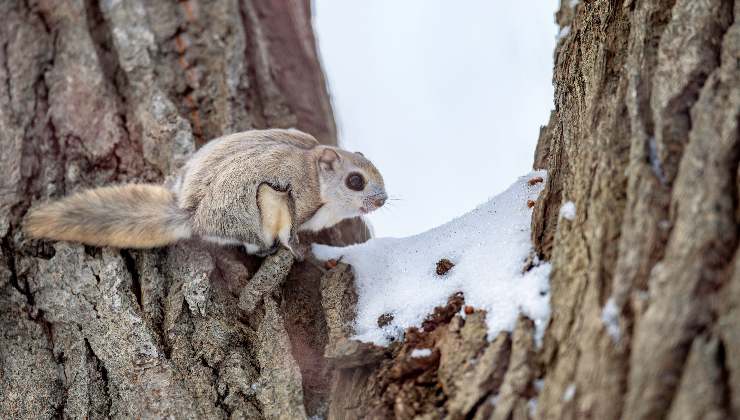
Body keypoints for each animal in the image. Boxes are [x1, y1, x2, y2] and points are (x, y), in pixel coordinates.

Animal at [23, 128, 388, 260]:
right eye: (355, 181)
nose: (382, 200)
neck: (314, 171)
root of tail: (193, 215)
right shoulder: (296, 195)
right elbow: (293, 233)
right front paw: (298, 249)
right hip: (266, 204)